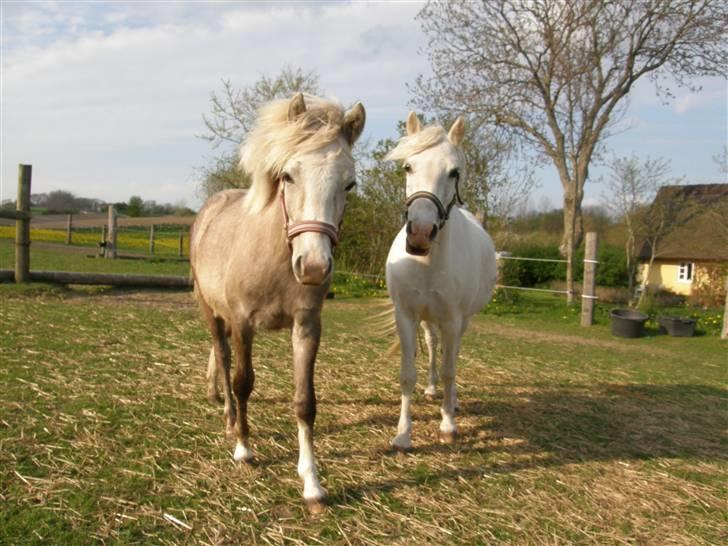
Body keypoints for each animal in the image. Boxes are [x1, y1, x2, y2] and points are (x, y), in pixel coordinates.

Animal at [190, 93, 365, 511]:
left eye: (349, 184)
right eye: (288, 175)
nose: (314, 267)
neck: (275, 258)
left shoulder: (307, 325)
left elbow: (305, 402)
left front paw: (312, 484)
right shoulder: (242, 323)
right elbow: (243, 382)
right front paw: (244, 448)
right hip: (211, 312)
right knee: (222, 359)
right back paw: (228, 419)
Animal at [384, 112, 497, 450]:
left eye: (454, 172)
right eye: (408, 166)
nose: (421, 233)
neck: (427, 264)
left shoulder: (452, 319)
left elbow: (450, 369)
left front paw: (448, 425)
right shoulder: (407, 316)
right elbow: (407, 374)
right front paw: (403, 434)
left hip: (463, 321)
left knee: (453, 355)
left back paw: (452, 401)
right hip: (427, 319)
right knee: (433, 345)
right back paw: (432, 388)